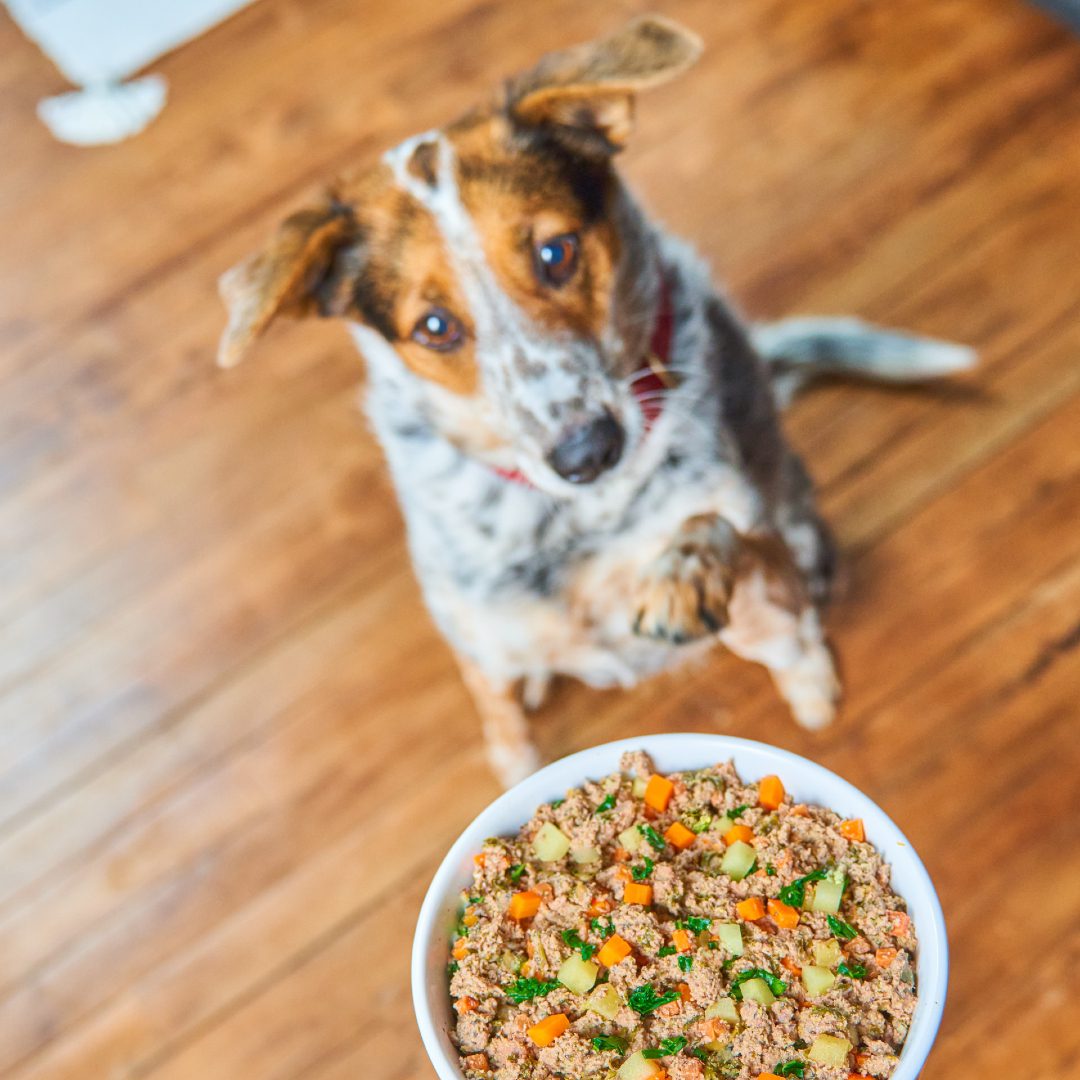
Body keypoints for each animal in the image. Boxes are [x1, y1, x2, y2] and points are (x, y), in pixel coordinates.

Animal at [217, 14, 972, 786]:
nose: (588, 451)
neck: (572, 522)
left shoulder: (760, 563)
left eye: (557, 252)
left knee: (797, 631)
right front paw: (516, 764)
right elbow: (504, 726)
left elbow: (713, 527)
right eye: (434, 327)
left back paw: (811, 679)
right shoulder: (478, 641)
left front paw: (681, 573)